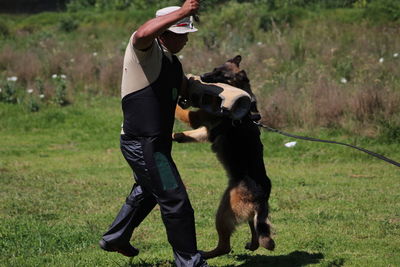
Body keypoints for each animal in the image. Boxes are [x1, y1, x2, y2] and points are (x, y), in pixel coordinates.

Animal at [172, 55, 276, 260]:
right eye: (214, 69)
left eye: (221, 76)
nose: (203, 76)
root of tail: (261, 196)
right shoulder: (206, 128)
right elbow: (195, 134)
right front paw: (177, 135)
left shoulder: (199, 118)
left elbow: (183, 113)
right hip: (243, 212)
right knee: (254, 227)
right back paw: (252, 244)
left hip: (223, 212)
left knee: (225, 245)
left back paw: (206, 253)